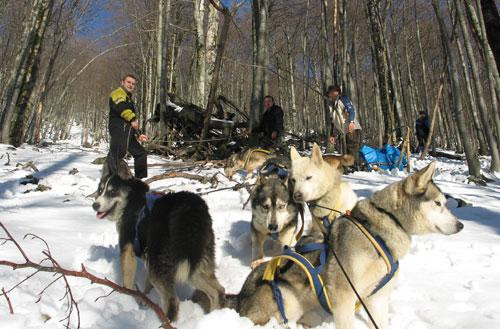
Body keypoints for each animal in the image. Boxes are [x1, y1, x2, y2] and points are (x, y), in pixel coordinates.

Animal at [92, 163, 225, 320]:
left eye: (112, 192)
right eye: (100, 190)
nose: (95, 205)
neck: (132, 201)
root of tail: (190, 207)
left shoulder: (128, 250)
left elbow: (127, 282)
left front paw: (126, 299)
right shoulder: (148, 258)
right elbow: (146, 286)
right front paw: (144, 300)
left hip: (164, 264)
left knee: (173, 300)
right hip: (195, 261)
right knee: (218, 291)